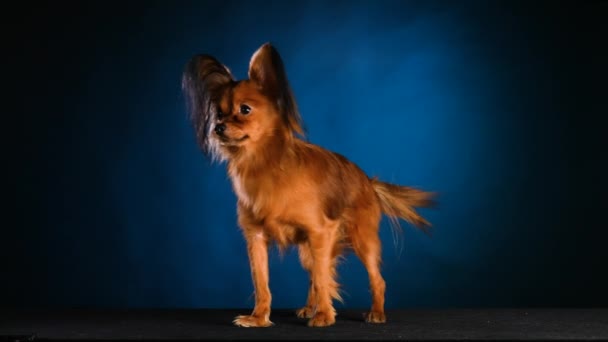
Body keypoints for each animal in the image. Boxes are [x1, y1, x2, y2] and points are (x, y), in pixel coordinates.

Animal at [183, 43, 434, 328]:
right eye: (219, 113)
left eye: (244, 109)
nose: (218, 127)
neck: (263, 164)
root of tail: (367, 181)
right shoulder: (256, 239)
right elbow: (262, 283)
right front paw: (258, 317)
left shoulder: (321, 232)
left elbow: (324, 281)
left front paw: (324, 315)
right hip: (308, 250)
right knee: (314, 277)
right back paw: (308, 307)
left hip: (362, 240)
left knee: (374, 279)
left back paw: (376, 312)